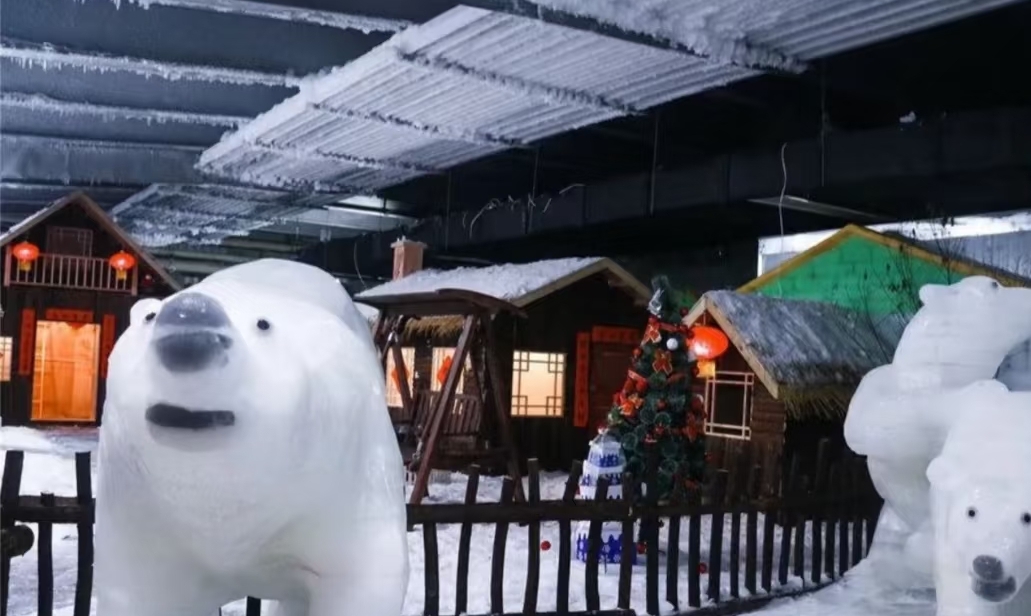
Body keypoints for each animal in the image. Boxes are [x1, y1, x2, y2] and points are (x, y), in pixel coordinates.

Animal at [94, 259, 408, 616]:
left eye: (263, 324)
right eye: (150, 317)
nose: (188, 335)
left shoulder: (349, 472)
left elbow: (362, 577)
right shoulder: (135, 503)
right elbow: (138, 591)